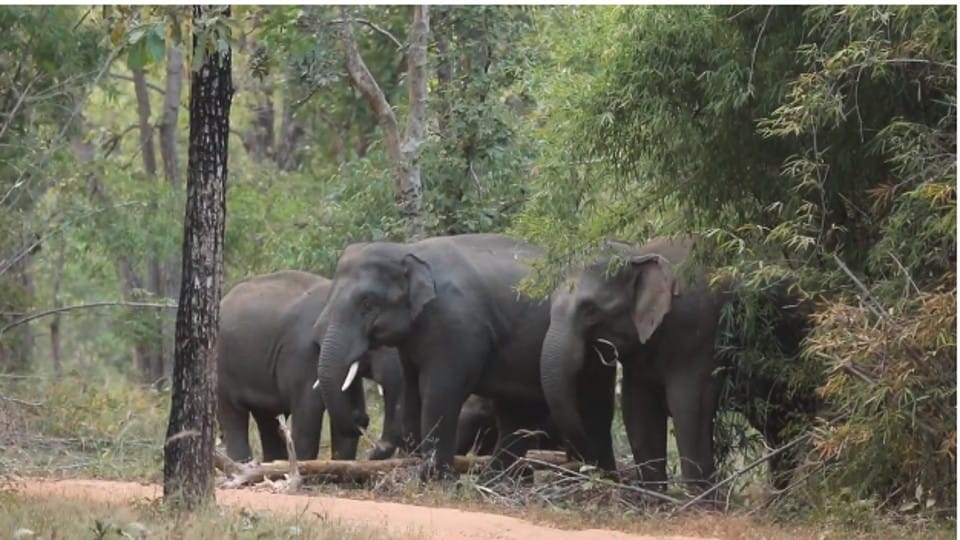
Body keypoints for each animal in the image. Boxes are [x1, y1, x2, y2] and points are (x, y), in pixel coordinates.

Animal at [217, 270, 407, 463]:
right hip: (222, 368)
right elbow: (308, 415)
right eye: (377, 343)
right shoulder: (301, 353)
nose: (363, 418)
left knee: (268, 419)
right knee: (233, 415)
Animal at [314, 234, 617, 479]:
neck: (407, 250)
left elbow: (439, 391)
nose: (360, 420)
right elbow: (412, 390)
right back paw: (496, 480)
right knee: (519, 413)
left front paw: (432, 478)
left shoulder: (455, 325)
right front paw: (413, 464)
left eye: (367, 304)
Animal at [540, 237, 727, 491]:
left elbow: (689, 408)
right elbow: (638, 411)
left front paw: (700, 499)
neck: (638, 255)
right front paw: (654, 496)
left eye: (590, 310)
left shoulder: (697, 334)